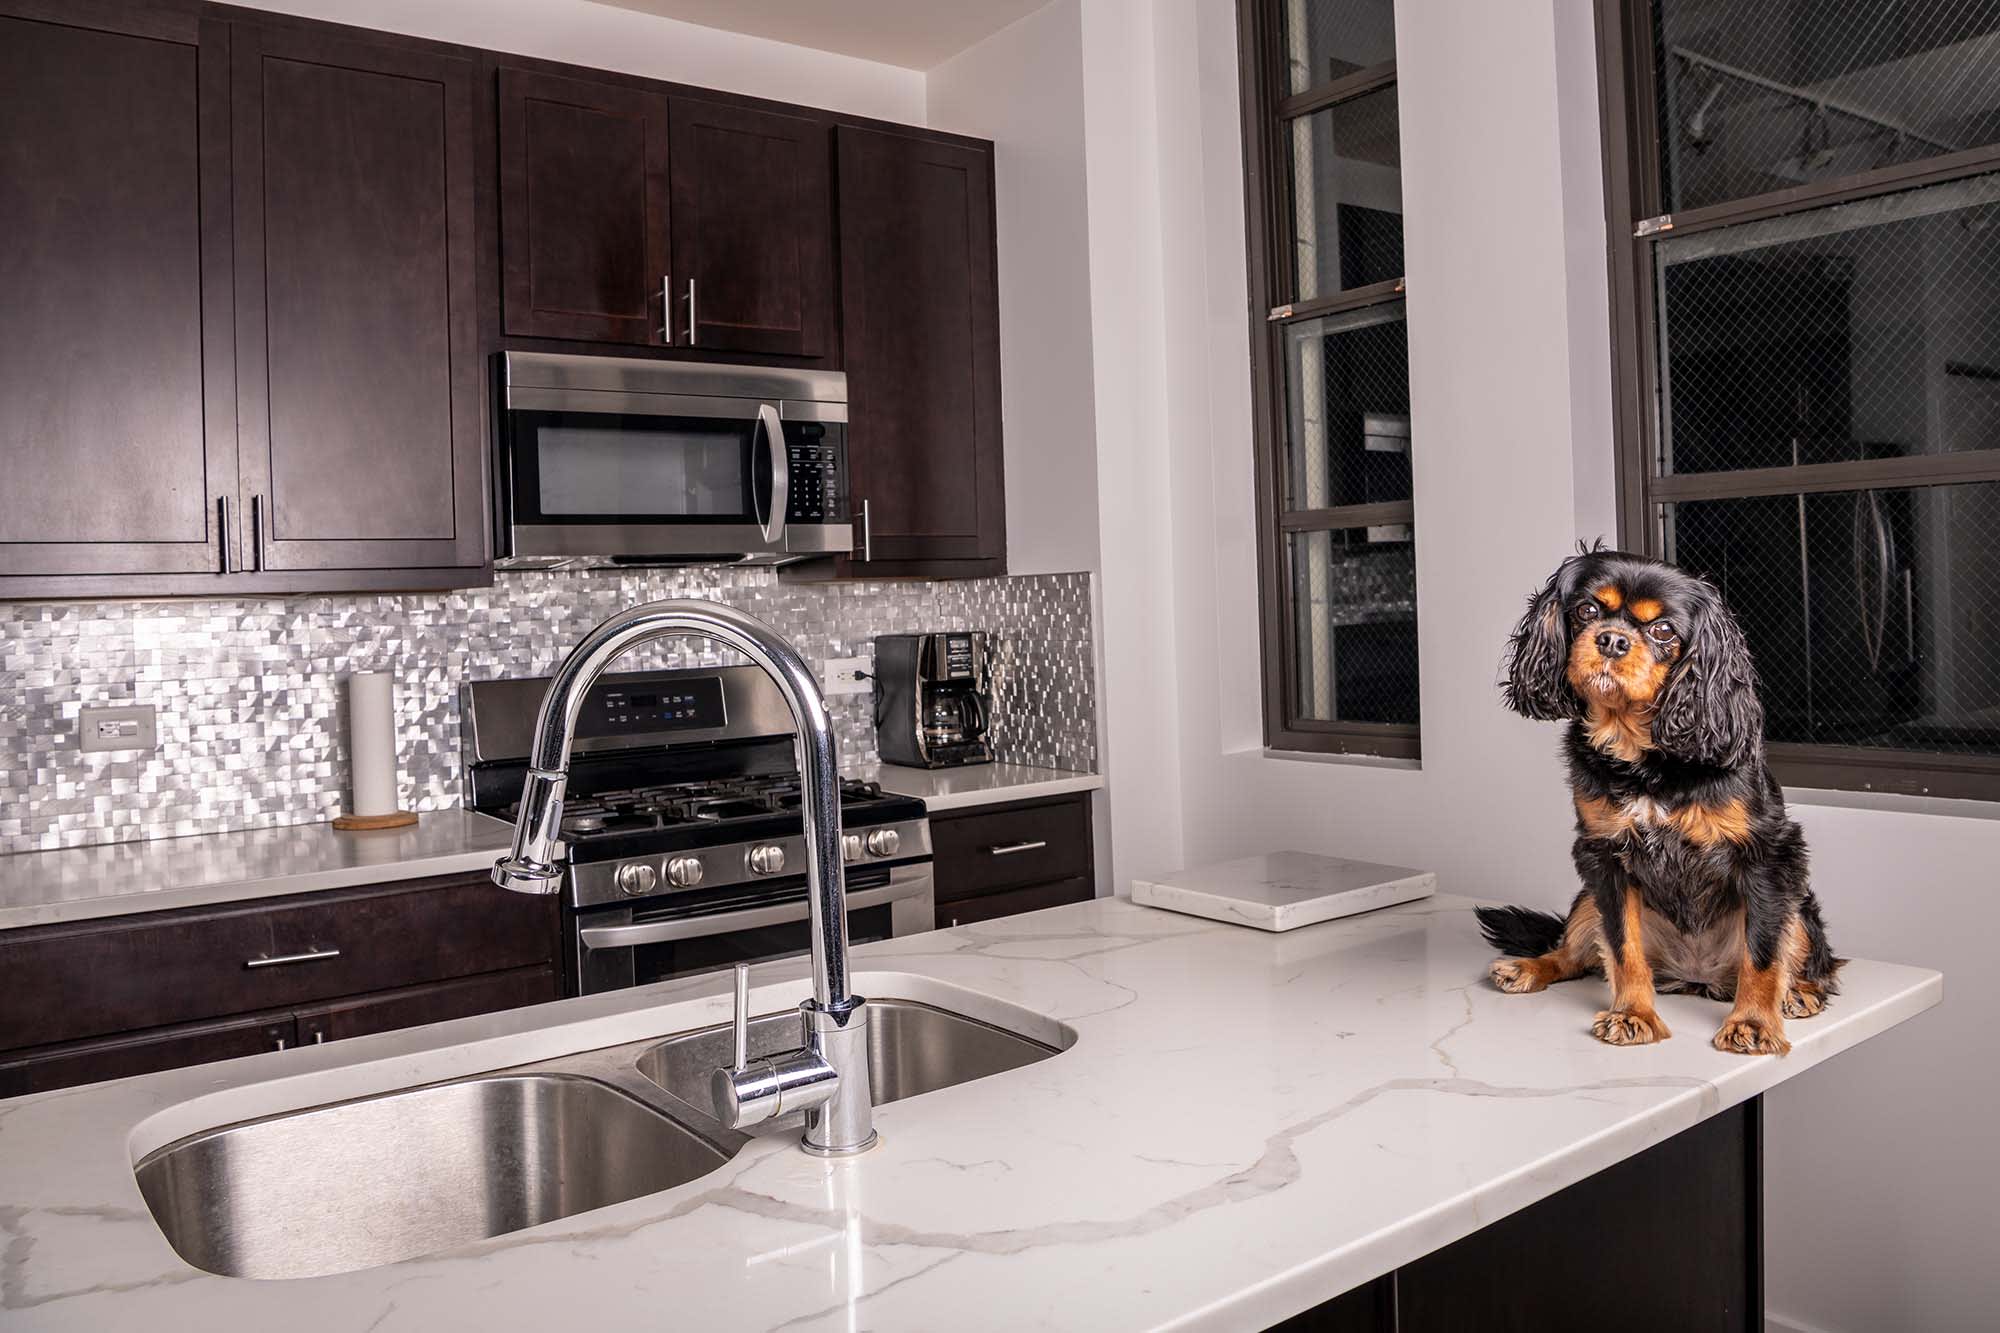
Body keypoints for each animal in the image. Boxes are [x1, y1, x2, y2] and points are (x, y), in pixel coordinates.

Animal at [1472, 544, 1840, 1056]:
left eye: (1663, 630)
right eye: (1587, 611)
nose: (1612, 641)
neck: (1642, 751)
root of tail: (1697, 977)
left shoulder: (1768, 856)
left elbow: (1764, 954)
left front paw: (1752, 1023)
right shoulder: (1604, 856)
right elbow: (1621, 947)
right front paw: (1633, 1014)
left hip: (1798, 904)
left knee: (1811, 960)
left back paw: (1800, 992)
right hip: (1586, 899)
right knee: (1574, 954)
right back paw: (1529, 966)